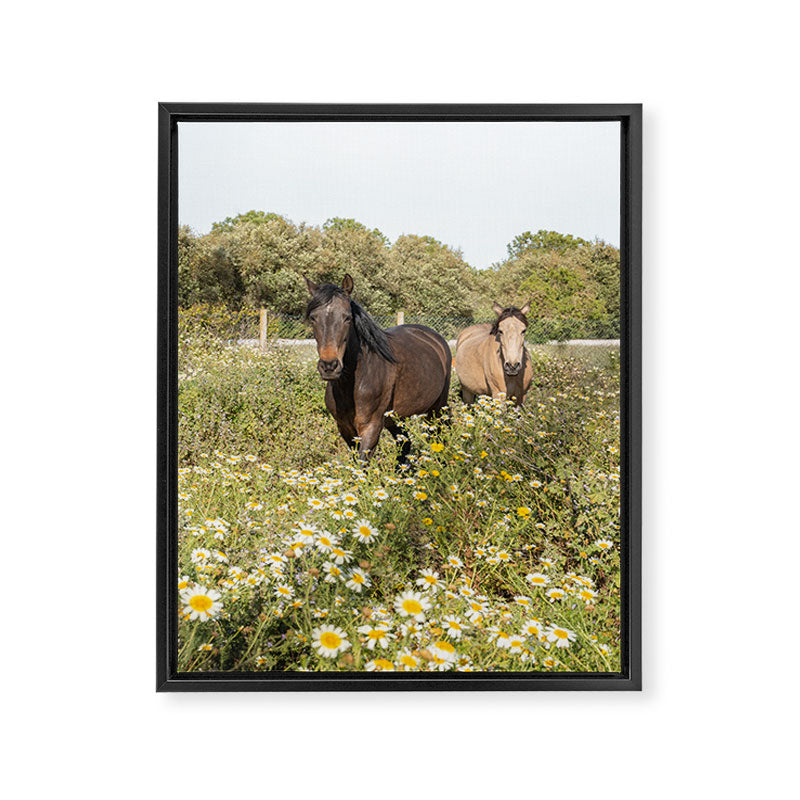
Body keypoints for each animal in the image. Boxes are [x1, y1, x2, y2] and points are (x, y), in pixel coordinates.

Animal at [305, 274, 451, 460]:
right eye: (313, 318)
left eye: (347, 318)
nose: (329, 366)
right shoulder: (345, 428)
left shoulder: (371, 427)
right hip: (393, 417)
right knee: (405, 443)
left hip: (436, 409)